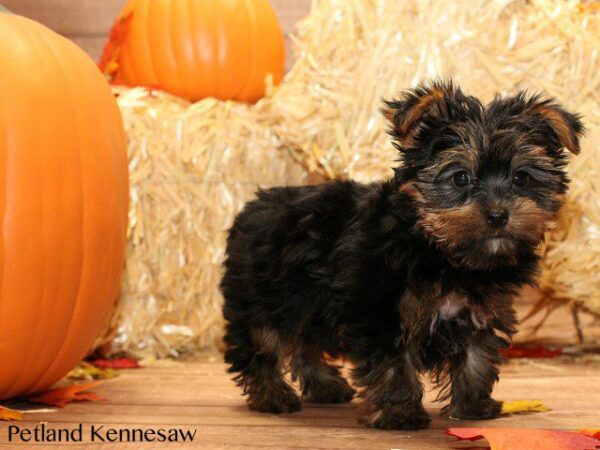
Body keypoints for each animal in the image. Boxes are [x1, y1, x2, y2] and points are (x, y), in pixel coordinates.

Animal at [219, 80, 580, 428]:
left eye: (521, 177)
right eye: (461, 177)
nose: (498, 214)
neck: (443, 252)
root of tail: (251, 208)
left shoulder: (479, 311)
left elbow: (476, 357)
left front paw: (473, 407)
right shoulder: (380, 311)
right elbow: (393, 365)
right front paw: (399, 413)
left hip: (309, 304)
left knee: (306, 342)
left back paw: (324, 386)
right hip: (263, 299)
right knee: (260, 344)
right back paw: (272, 395)